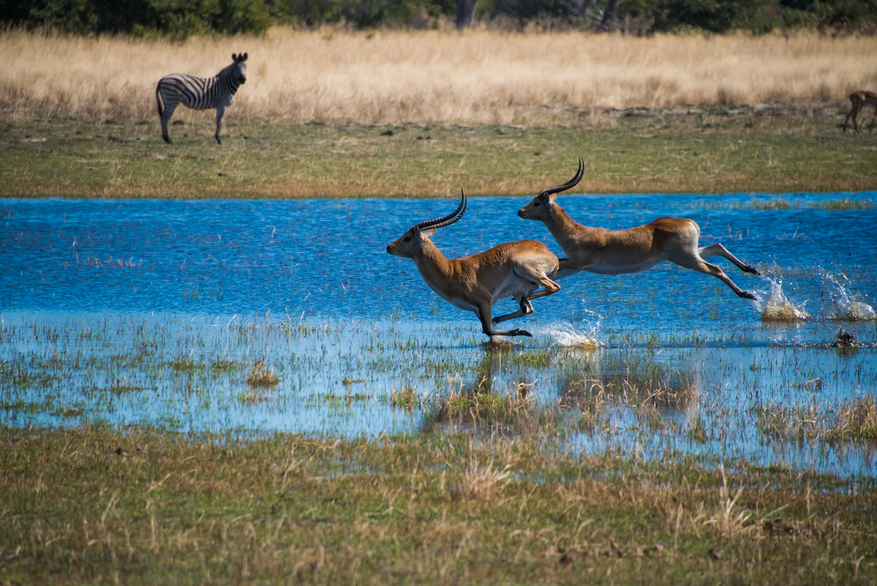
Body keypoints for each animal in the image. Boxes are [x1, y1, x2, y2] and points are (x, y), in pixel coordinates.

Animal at [384, 189, 560, 340]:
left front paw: (521, 331)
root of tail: (548, 252)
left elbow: (488, 330)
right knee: (528, 309)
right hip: (518, 289)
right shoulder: (476, 310)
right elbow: (487, 331)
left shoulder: (485, 302)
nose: (389, 247)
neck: (450, 272)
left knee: (552, 287)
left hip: (525, 269)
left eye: (407, 237)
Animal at [520, 157, 760, 298]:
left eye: (537, 202)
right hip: (690, 253)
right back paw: (751, 269)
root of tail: (689, 222)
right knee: (718, 246)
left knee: (716, 269)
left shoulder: (577, 263)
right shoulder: (575, 267)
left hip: (687, 258)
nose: (520, 212)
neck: (577, 233)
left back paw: (746, 294)